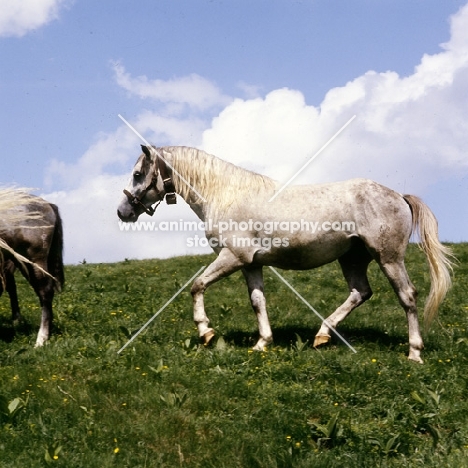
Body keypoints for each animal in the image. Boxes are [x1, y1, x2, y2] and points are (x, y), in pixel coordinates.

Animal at [117, 145, 454, 362]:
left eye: (138, 174)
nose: (122, 212)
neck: (225, 195)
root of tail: (398, 196)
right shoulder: (250, 264)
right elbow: (257, 301)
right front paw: (262, 343)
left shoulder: (231, 257)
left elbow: (197, 286)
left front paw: (206, 332)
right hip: (352, 258)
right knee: (360, 292)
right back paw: (322, 335)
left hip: (389, 258)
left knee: (407, 296)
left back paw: (414, 352)